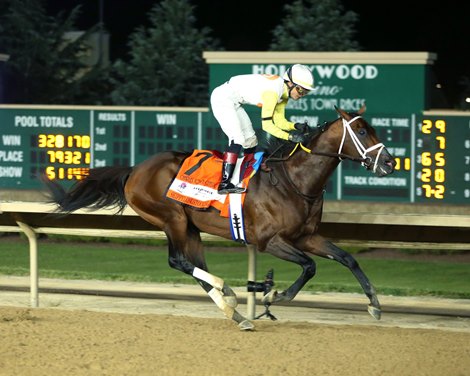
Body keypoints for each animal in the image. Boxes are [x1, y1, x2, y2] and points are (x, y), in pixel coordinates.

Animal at [45, 105, 396, 328]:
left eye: (374, 128)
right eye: (361, 131)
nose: (390, 163)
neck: (294, 180)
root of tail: (134, 169)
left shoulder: (305, 236)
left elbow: (347, 258)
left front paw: (375, 305)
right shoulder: (269, 240)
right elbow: (309, 267)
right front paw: (276, 293)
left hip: (191, 228)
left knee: (194, 264)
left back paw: (234, 312)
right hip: (172, 219)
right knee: (179, 261)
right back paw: (226, 289)